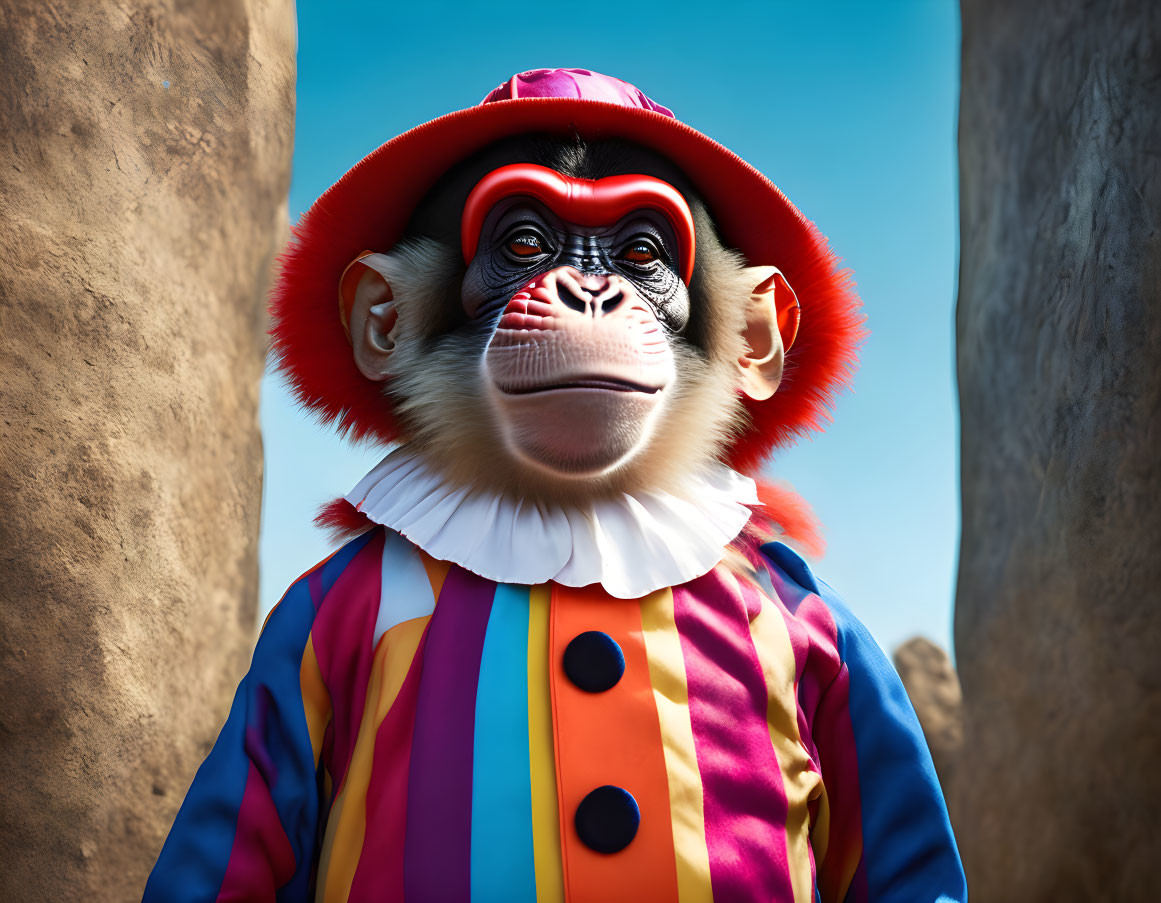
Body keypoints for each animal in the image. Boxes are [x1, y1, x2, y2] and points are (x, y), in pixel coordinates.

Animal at [140, 68, 965, 900]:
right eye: (526, 244)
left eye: (639, 252)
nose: (590, 291)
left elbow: (901, 838)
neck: (576, 513)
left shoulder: (818, 615)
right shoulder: (309, 615)